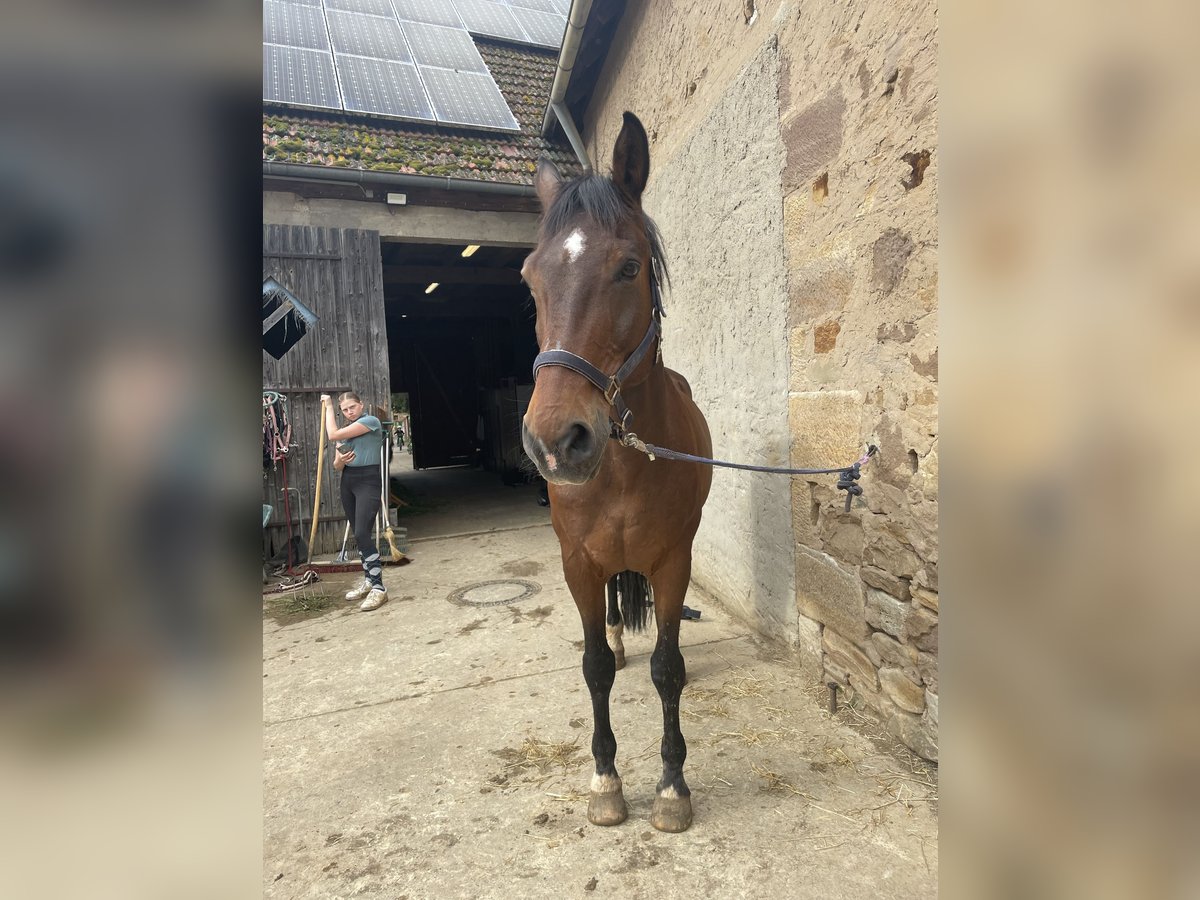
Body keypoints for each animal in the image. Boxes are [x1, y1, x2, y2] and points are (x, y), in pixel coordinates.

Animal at [518, 114, 705, 840]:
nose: (555, 442)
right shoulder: (579, 563)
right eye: (530, 278)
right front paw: (605, 782)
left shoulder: (674, 562)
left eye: (628, 267)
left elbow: (668, 669)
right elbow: (595, 666)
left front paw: (672, 787)